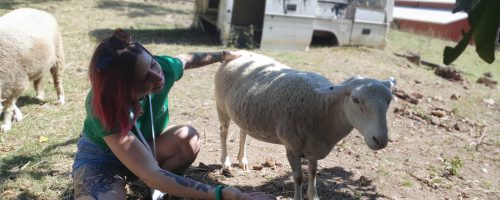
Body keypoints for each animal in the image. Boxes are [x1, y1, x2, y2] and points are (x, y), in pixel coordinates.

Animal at [214, 51, 394, 200]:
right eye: (355, 99)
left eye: (389, 100)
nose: (380, 140)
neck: (324, 108)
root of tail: (237, 53)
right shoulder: (292, 146)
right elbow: (299, 177)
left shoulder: (314, 147)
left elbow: (313, 171)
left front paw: (313, 195)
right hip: (221, 106)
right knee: (223, 133)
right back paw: (226, 163)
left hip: (242, 111)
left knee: (243, 132)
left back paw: (242, 160)